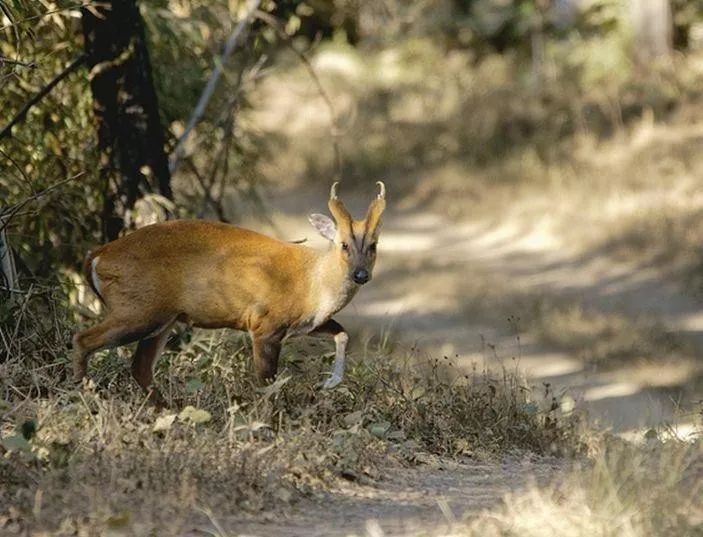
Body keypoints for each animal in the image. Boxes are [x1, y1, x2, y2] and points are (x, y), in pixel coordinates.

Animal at [73, 182, 384, 400]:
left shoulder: (304, 324)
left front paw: (329, 382)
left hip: (163, 318)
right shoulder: (265, 324)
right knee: (83, 339)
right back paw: (88, 395)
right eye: (344, 244)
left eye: (373, 245)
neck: (312, 283)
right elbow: (267, 384)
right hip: (138, 309)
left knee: (140, 367)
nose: (361, 275)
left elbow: (342, 333)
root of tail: (96, 256)